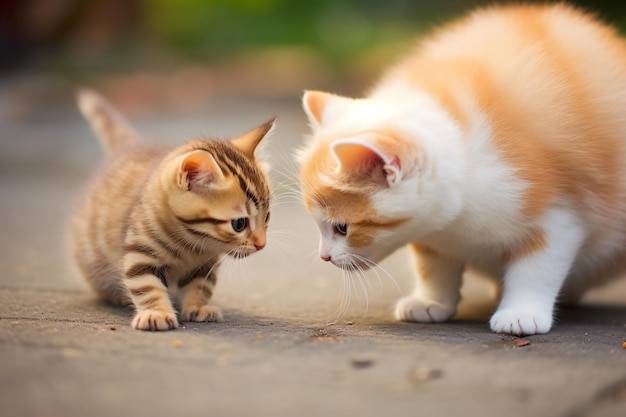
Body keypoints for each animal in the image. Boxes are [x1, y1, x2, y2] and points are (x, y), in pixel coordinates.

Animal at [70, 89, 270, 330]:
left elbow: (201, 287)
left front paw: (197, 307)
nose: (261, 244)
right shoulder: (140, 254)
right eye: (239, 224)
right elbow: (147, 286)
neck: (192, 245)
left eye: (267, 216)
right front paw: (155, 313)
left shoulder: (205, 265)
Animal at [296, 3, 624, 334]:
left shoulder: (559, 213)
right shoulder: (432, 232)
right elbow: (433, 265)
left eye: (342, 228)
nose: (324, 257)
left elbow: (538, 266)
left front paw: (522, 312)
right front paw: (431, 301)